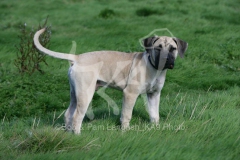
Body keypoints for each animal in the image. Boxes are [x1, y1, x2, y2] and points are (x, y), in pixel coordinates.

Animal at [33, 28, 188, 134]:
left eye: (173, 49)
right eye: (158, 48)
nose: (166, 60)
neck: (155, 68)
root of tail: (77, 57)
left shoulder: (154, 95)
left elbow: (155, 115)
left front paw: (155, 128)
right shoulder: (130, 94)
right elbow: (126, 115)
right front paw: (125, 132)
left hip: (75, 94)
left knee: (68, 114)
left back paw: (68, 133)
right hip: (85, 94)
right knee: (77, 116)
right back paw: (77, 135)